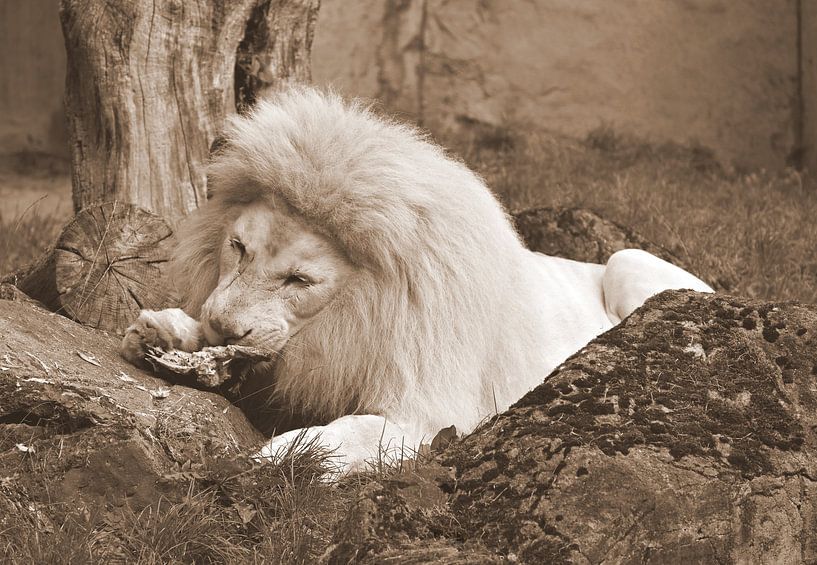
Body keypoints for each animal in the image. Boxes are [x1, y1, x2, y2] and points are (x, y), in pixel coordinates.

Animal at [121, 87, 712, 472]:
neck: (352, 315)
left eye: (300, 281)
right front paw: (163, 331)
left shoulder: (433, 416)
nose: (224, 327)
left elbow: (351, 431)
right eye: (238, 248)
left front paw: (276, 457)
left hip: (630, 262)